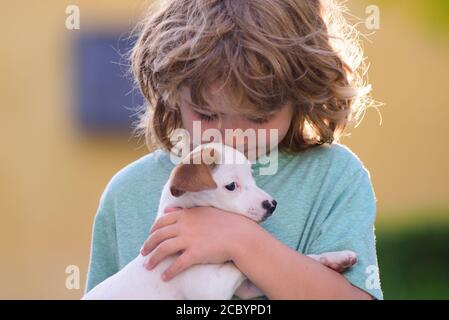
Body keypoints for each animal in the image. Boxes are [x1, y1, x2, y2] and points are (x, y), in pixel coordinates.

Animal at [83, 143, 356, 300]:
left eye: (252, 177)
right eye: (231, 186)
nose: (272, 204)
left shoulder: (246, 288)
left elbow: (288, 263)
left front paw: (335, 258)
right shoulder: (212, 287)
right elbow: (236, 265)